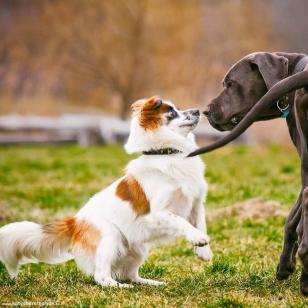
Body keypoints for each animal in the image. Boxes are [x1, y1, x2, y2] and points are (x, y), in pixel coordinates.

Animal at [0, 97, 212, 288]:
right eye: (171, 113)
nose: (198, 111)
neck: (168, 153)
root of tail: (74, 222)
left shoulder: (196, 203)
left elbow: (200, 224)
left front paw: (204, 252)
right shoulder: (158, 213)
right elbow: (181, 221)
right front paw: (198, 239)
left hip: (137, 249)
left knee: (129, 275)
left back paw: (149, 283)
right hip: (110, 237)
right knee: (101, 276)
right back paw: (119, 287)